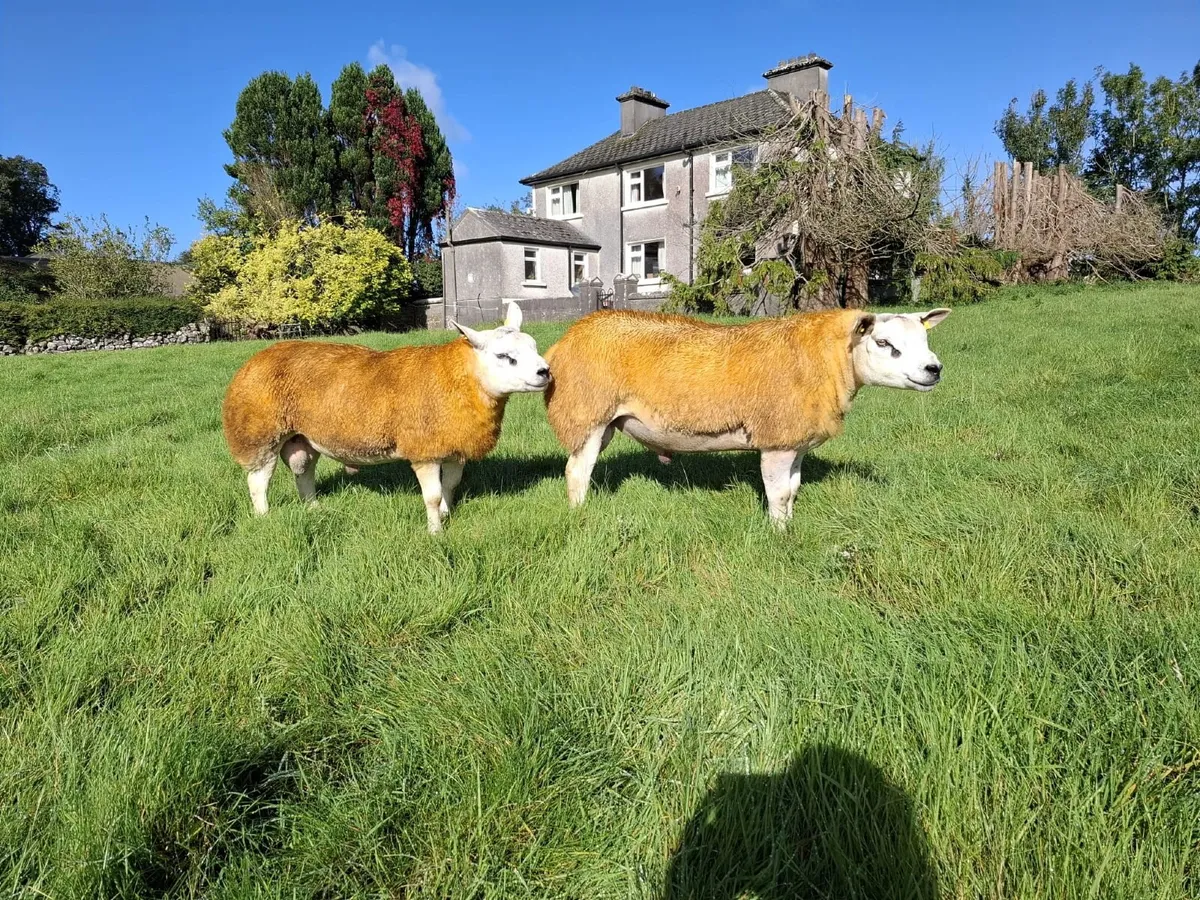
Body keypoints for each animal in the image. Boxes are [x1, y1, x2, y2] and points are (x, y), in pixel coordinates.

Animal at [222, 302, 549, 533]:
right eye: (504, 356)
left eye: (534, 347)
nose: (545, 372)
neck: (459, 377)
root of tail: (255, 359)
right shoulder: (425, 449)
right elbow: (432, 496)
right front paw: (435, 532)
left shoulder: (453, 445)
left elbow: (450, 487)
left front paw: (446, 515)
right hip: (260, 434)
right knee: (258, 482)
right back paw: (264, 517)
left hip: (301, 436)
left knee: (304, 473)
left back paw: (314, 509)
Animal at [542, 306, 951, 527]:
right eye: (883, 342)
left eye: (925, 339)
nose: (934, 370)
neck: (830, 359)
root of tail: (563, 342)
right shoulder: (776, 438)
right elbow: (779, 492)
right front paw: (779, 534)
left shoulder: (795, 439)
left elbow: (794, 488)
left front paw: (789, 525)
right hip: (587, 413)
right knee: (576, 472)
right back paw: (580, 514)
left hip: (603, 421)